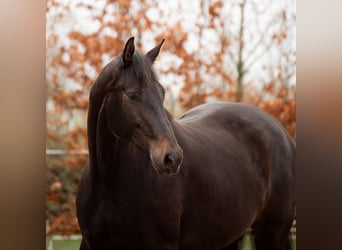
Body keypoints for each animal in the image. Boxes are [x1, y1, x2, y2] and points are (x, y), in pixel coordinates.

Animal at [76, 37, 296, 250]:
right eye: (132, 95)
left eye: (162, 93)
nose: (172, 157)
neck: (107, 181)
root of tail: (282, 133)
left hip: (272, 232)